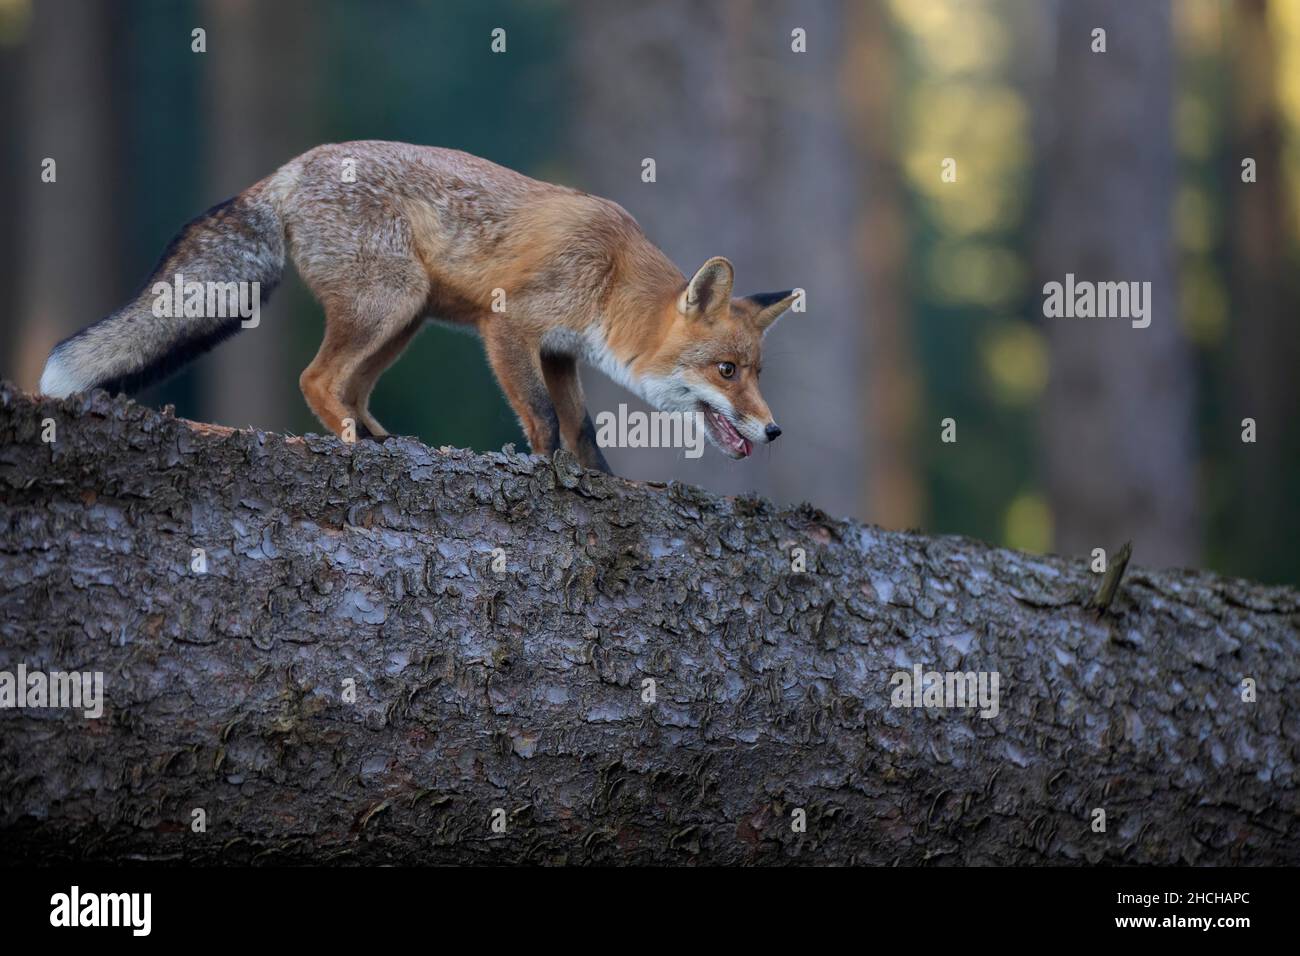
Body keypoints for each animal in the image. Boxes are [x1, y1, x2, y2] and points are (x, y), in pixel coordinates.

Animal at [38, 140, 790, 473]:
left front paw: (600, 484)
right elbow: (545, 423)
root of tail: (285, 171)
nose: (776, 430)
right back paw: (353, 444)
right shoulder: (507, 326)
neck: (610, 277)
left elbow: (583, 431)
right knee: (316, 380)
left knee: (349, 386)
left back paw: (382, 440)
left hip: (407, 318)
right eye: (726, 371)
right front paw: (547, 478)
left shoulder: (559, 351)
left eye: (758, 373)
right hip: (390, 303)